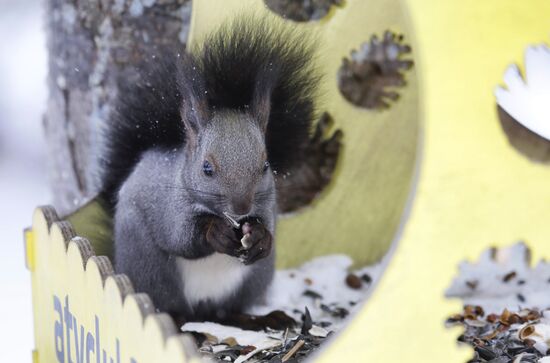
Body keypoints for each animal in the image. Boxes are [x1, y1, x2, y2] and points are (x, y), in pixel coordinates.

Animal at [97, 16, 342, 324]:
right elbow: (179, 236)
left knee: (231, 311)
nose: (241, 206)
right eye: (206, 168)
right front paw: (214, 232)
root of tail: (204, 309)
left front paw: (260, 237)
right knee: (171, 307)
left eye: (265, 165)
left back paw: (262, 319)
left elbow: (269, 226)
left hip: (253, 280)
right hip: (151, 268)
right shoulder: (168, 206)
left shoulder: (268, 203)